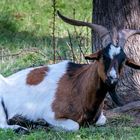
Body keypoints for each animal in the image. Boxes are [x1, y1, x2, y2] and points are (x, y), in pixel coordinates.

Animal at [0, 10, 140, 132]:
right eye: (102, 56)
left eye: (123, 60)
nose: (112, 78)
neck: (79, 87)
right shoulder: (51, 114)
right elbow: (75, 126)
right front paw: (42, 123)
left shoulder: (100, 118)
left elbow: (101, 120)